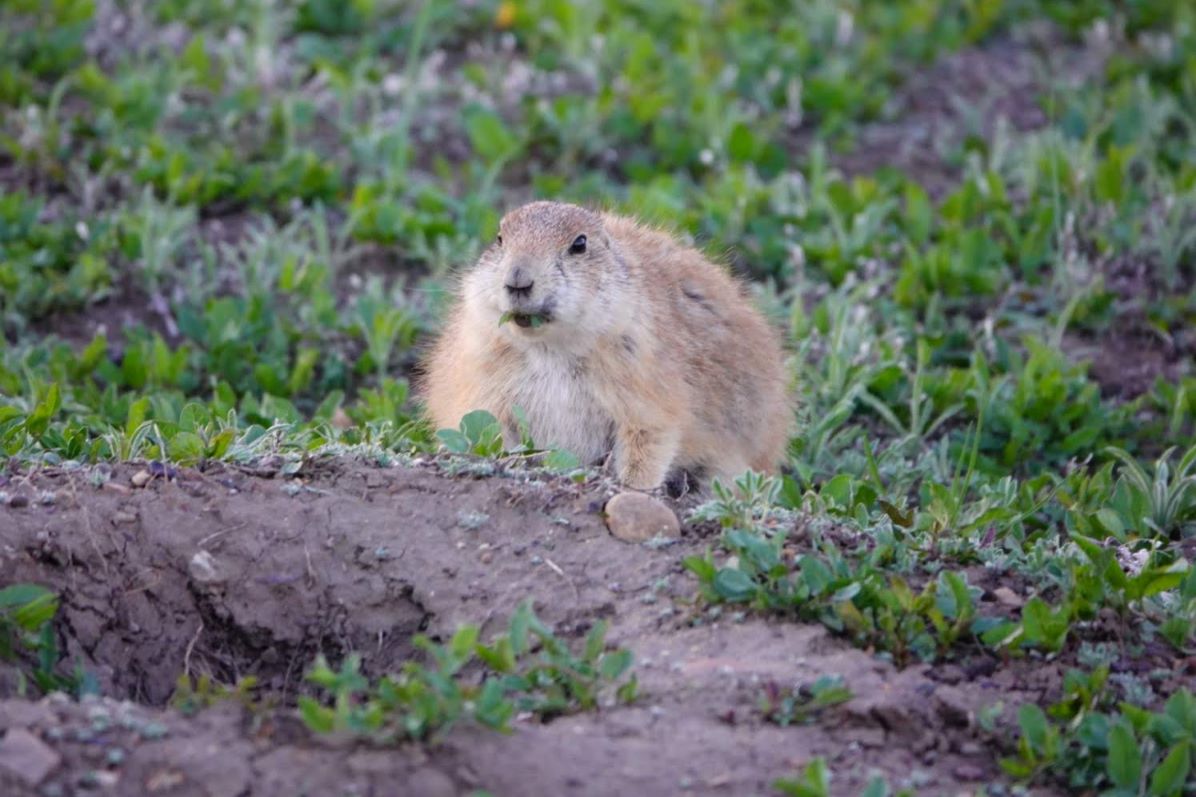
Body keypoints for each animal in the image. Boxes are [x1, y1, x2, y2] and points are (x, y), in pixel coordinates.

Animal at [419, 201, 792, 491]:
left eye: (579, 244)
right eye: (499, 239)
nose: (518, 280)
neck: (551, 348)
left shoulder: (644, 385)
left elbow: (648, 440)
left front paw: (631, 486)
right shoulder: (484, 381)